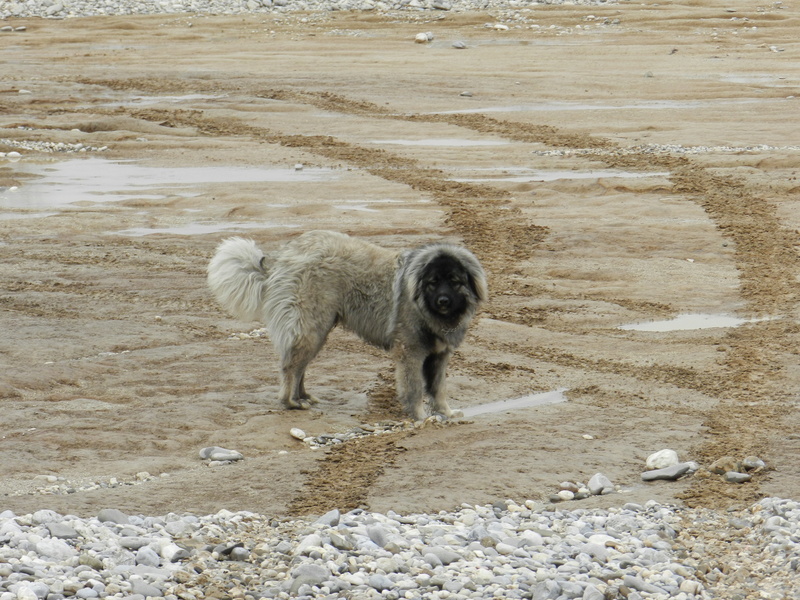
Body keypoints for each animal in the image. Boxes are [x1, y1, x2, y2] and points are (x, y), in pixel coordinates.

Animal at [206, 232, 488, 420]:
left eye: (454, 281)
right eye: (432, 282)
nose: (443, 301)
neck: (425, 307)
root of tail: (283, 257)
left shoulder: (439, 355)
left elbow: (439, 389)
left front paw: (446, 413)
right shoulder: (411, 354)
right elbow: (415, 388)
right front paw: (420, 417)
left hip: (318, 331)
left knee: (299, 367)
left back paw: (303, 397)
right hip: (310, 329)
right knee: (290, 367)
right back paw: (291, 402)